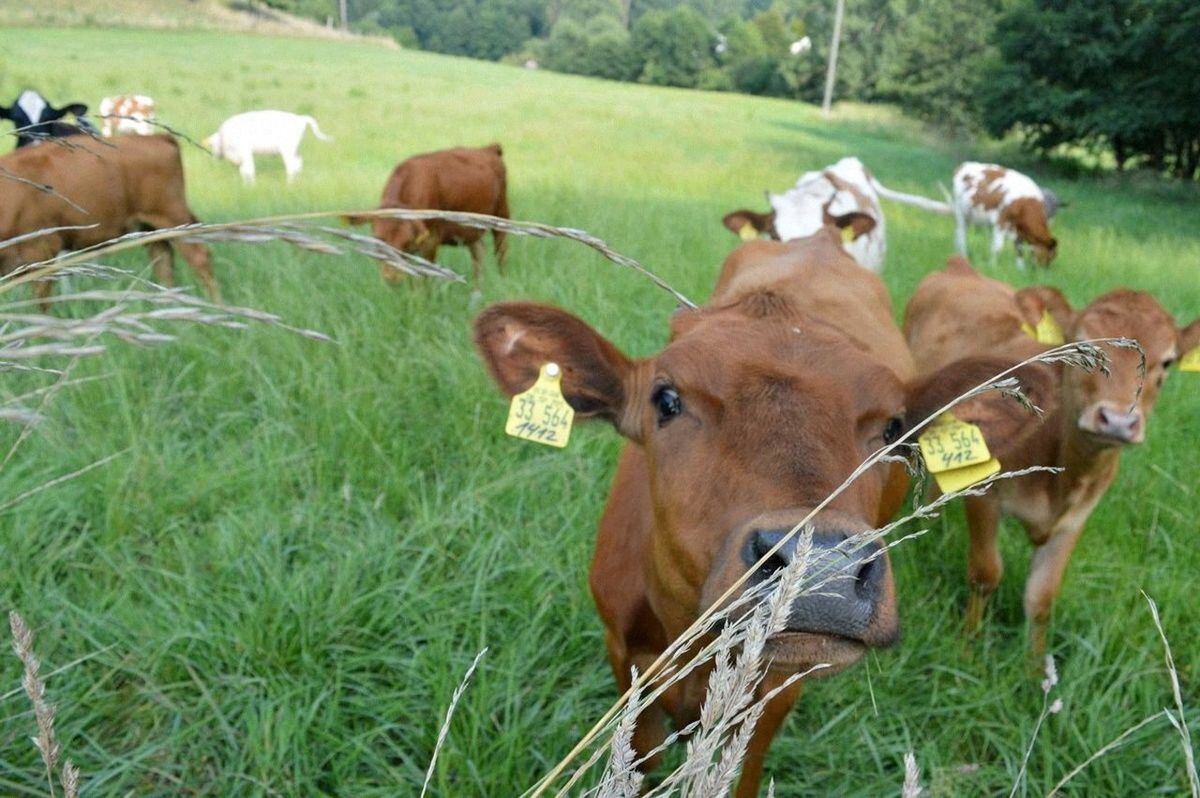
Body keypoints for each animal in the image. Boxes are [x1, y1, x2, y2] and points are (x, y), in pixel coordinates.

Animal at [0, 130, 218, 304]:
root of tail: (156, 137)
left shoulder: (41, 249)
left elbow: (41, 300)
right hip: (150, 226)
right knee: (163, 261)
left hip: (172, 216)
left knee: (199, 256)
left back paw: (216, 305)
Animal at [350, 143, 511, 283]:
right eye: (379, 240)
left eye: (405, 242)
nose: (391, 277)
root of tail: (488, 148)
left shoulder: (431, 240)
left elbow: (424, 279)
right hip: (471, 229)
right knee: (478, 253)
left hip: (501, 214)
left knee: (501, 250)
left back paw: (502, 279)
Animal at [902, 256, 1195, 657]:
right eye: (1081, 346)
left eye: (1166, 363)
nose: (1118, 421)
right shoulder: (986, 494)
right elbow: (984, 574)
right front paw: (968, 647)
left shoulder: (1076, 518)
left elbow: (1041, 598)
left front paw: (1036, 666)